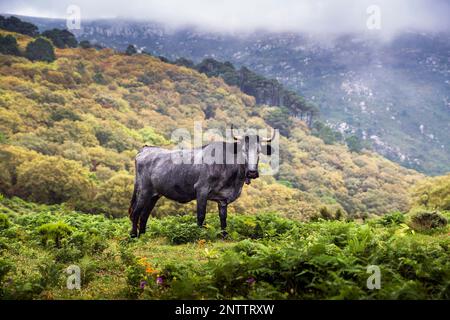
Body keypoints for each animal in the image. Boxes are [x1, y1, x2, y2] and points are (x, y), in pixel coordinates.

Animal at [128, 132, 272, 238]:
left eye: (259, 151)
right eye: (243, 150)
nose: (252, 172)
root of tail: (146, 149)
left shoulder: (223, 199)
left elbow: (223, 218)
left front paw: (224, 236)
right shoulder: (202, 190)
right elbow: (201, 215)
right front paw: (199, 235)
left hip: (154, 195)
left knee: (144, 215)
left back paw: (144, 236)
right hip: (143, 191)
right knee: (135, 213)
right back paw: (134, 236)